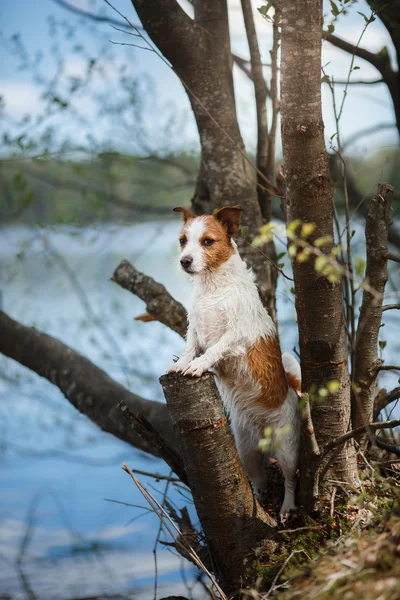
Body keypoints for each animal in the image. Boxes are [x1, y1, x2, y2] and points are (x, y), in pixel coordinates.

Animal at [167, 205, 302, 516]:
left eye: (207, 241)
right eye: (183, 241)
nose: (184, 261)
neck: (213, 288)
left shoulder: (236, 336)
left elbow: (214, 349)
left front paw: (198, 365)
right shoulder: (195, 329)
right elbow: (190, 346)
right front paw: (182, 363)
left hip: (288, 449)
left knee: (290, 480)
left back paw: (287, 506)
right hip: (247, 451)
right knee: (260, 479)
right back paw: (260, 498)